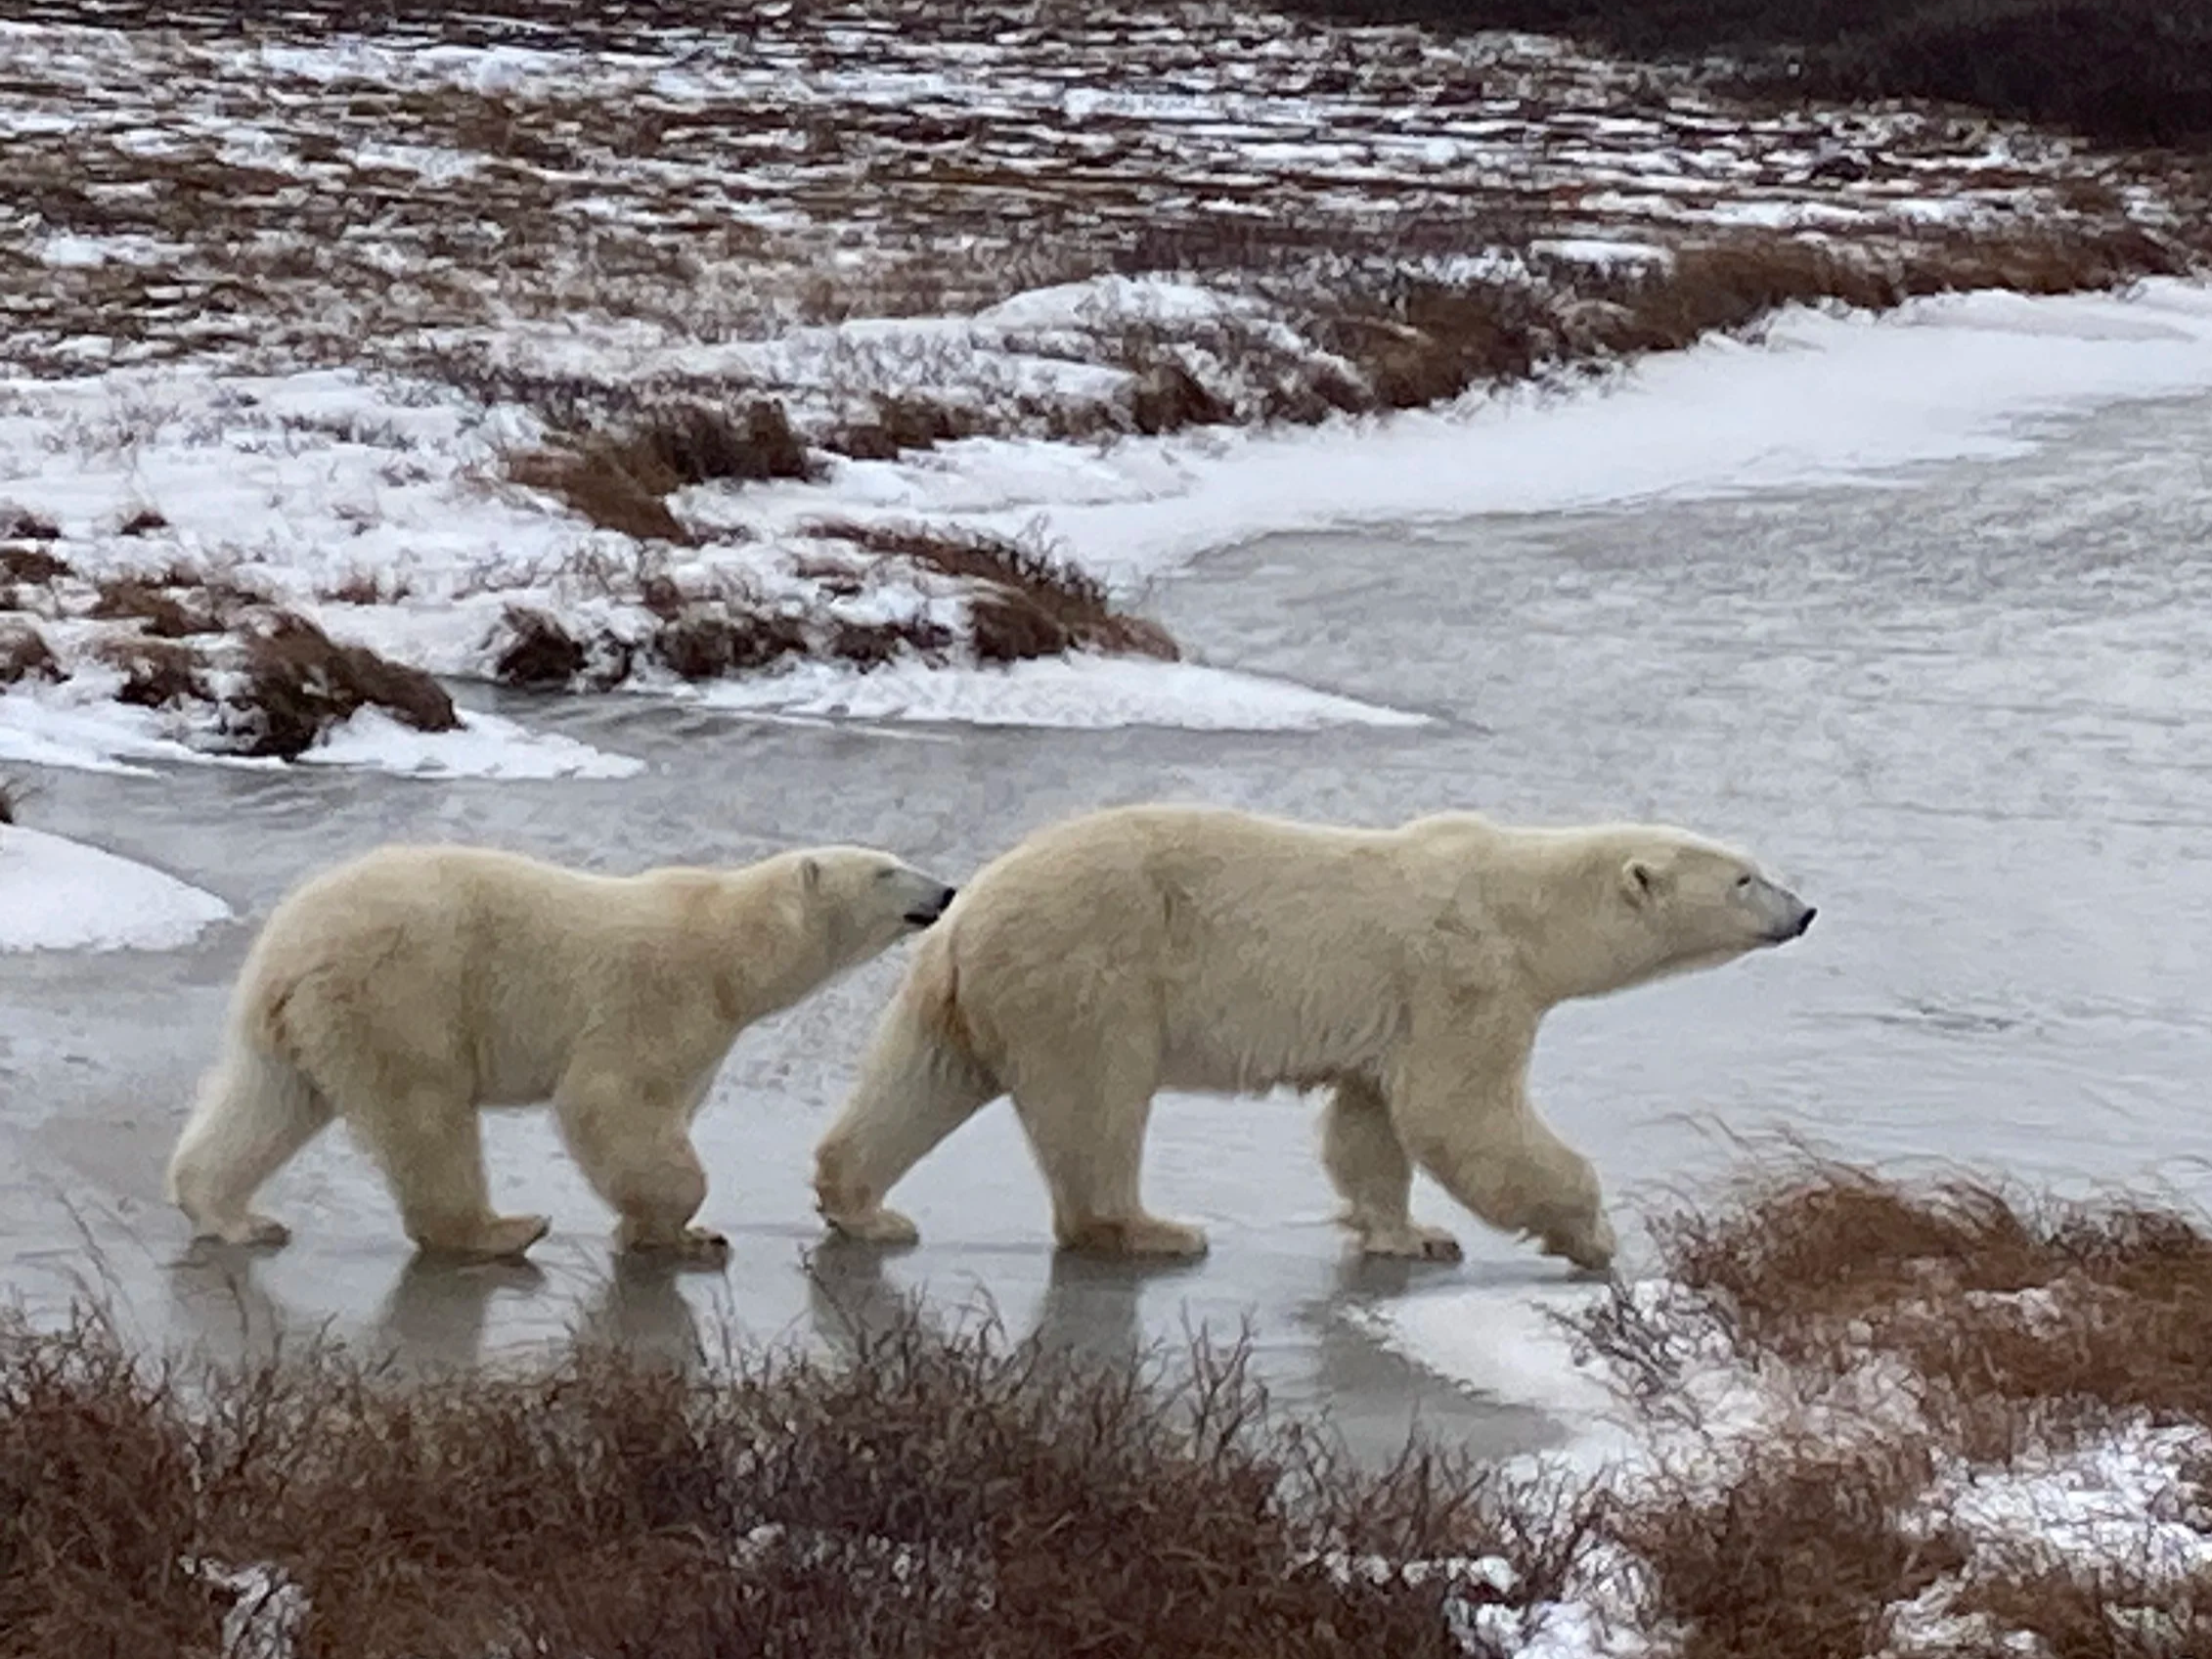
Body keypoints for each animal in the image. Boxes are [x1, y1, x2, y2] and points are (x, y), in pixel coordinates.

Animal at [166, 840, 958, 1265]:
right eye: (886, 870)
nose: (946, 890)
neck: (729, 950)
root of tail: (286, 947)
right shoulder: (658, 994)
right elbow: (611, 1098)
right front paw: (681, 1228)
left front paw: (670, 1231)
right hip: (401, 993)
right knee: (426, 1115)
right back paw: (499, 1230)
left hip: (296, 1022)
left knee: (266, 1101)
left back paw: (235, 1216)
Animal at [812, 803, 1815, 1272]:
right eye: (1744, 879)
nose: (1804, 911)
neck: (1522, 903)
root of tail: (971, 906)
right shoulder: (1463, 975)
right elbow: (1461, 1112)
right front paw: (1592, 1236)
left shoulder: (1395, 1013)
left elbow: (1371, 1124)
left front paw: (1411, 1236)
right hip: (1088, 969)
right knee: (1096, 1105)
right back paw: (1152, 1229)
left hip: (967, 987)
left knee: (921, 1078)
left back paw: (862, 1205)